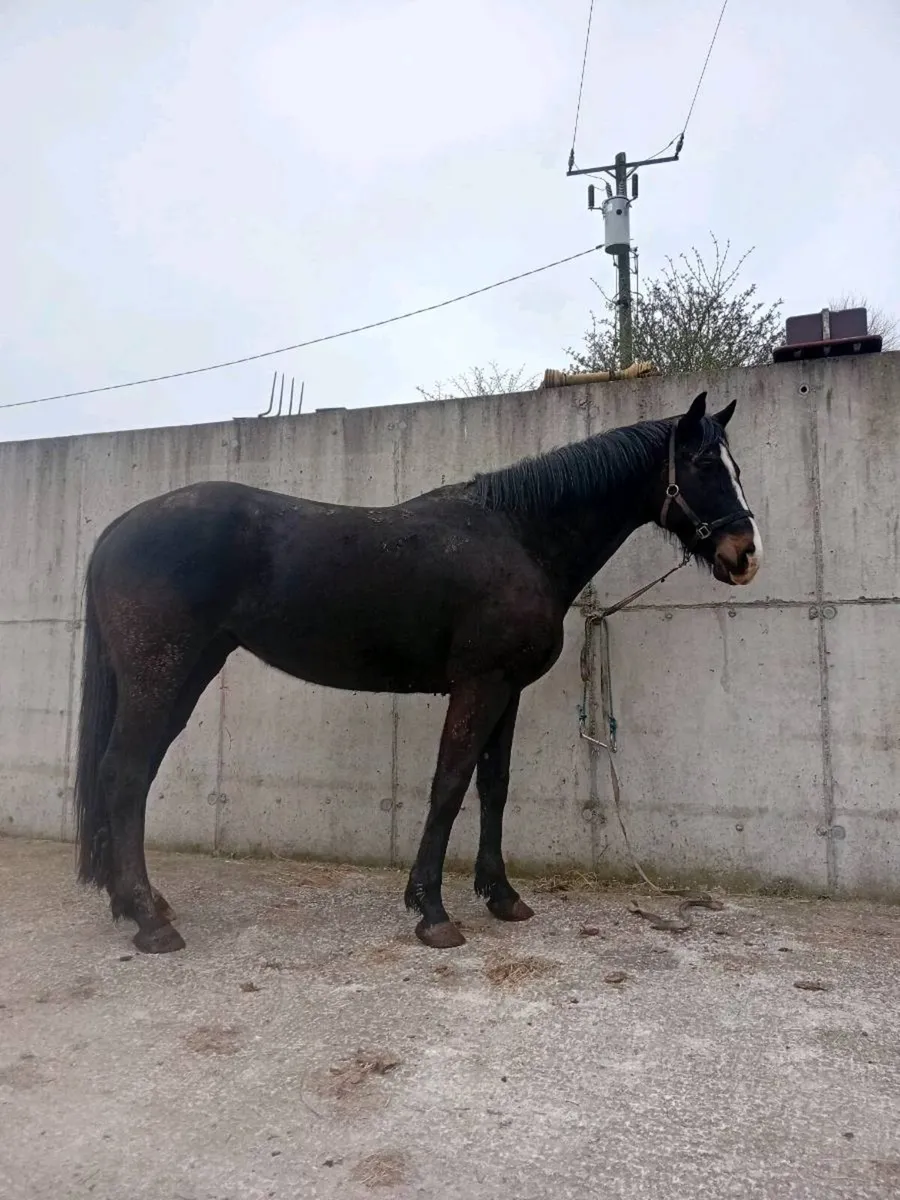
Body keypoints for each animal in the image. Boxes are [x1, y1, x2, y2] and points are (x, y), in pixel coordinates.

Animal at [74, 390, 762, 953]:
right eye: (704, 465)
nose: (745, 554)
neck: (520, 538)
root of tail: (118, 529)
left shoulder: (507, 692)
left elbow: (493, 786)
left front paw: (502, 896)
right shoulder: (479, 686)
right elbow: (449, 785)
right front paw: (432, 912)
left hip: (185, 674)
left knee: (130, 773)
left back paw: (141, 904)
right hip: (161, 677)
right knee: (125, 773)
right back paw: (149, 921)